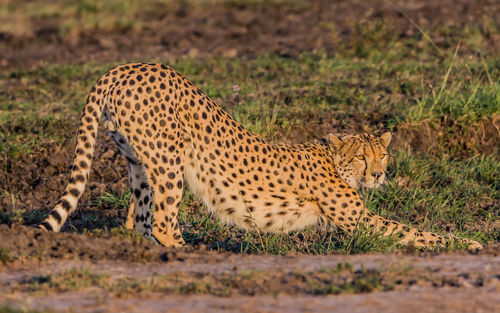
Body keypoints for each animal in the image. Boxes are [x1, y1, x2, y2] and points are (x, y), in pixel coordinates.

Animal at [37, 62, 482, 249]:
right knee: (161, 219)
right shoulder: (360, 221)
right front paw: (468, 244)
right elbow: (413, 232)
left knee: (139, 219)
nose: (376, 175)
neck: (334, 162)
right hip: (170, 159)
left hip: (139, 162)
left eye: (382, 156)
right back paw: (190, 252)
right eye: (361, 157)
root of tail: (122, 67)